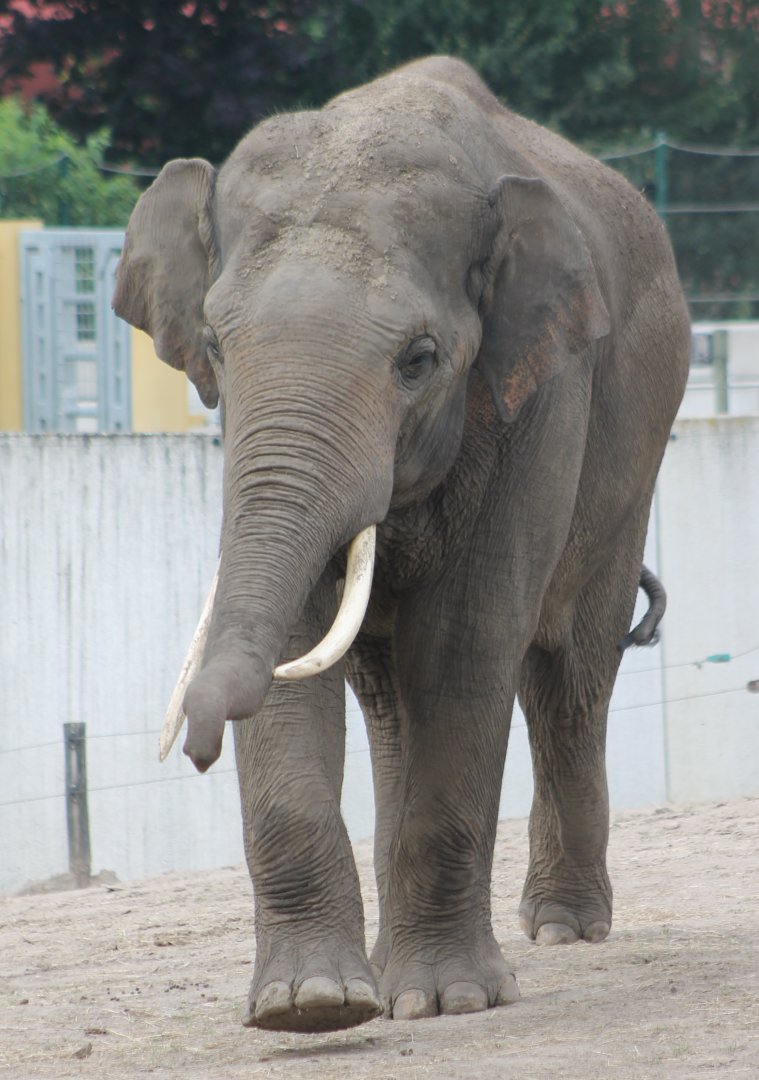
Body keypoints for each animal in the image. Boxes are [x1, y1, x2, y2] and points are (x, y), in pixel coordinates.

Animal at [113, 56, 690, 1034]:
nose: (195, 749)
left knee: (566, 675)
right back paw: (384, 975)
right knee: (389, 699)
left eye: (418, 359)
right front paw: (307, 1007)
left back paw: (561, 928)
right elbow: (299, 641)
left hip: (635, 453)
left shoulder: (534, 394)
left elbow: (464, 644)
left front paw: (448, 1001)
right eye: (217, 347)